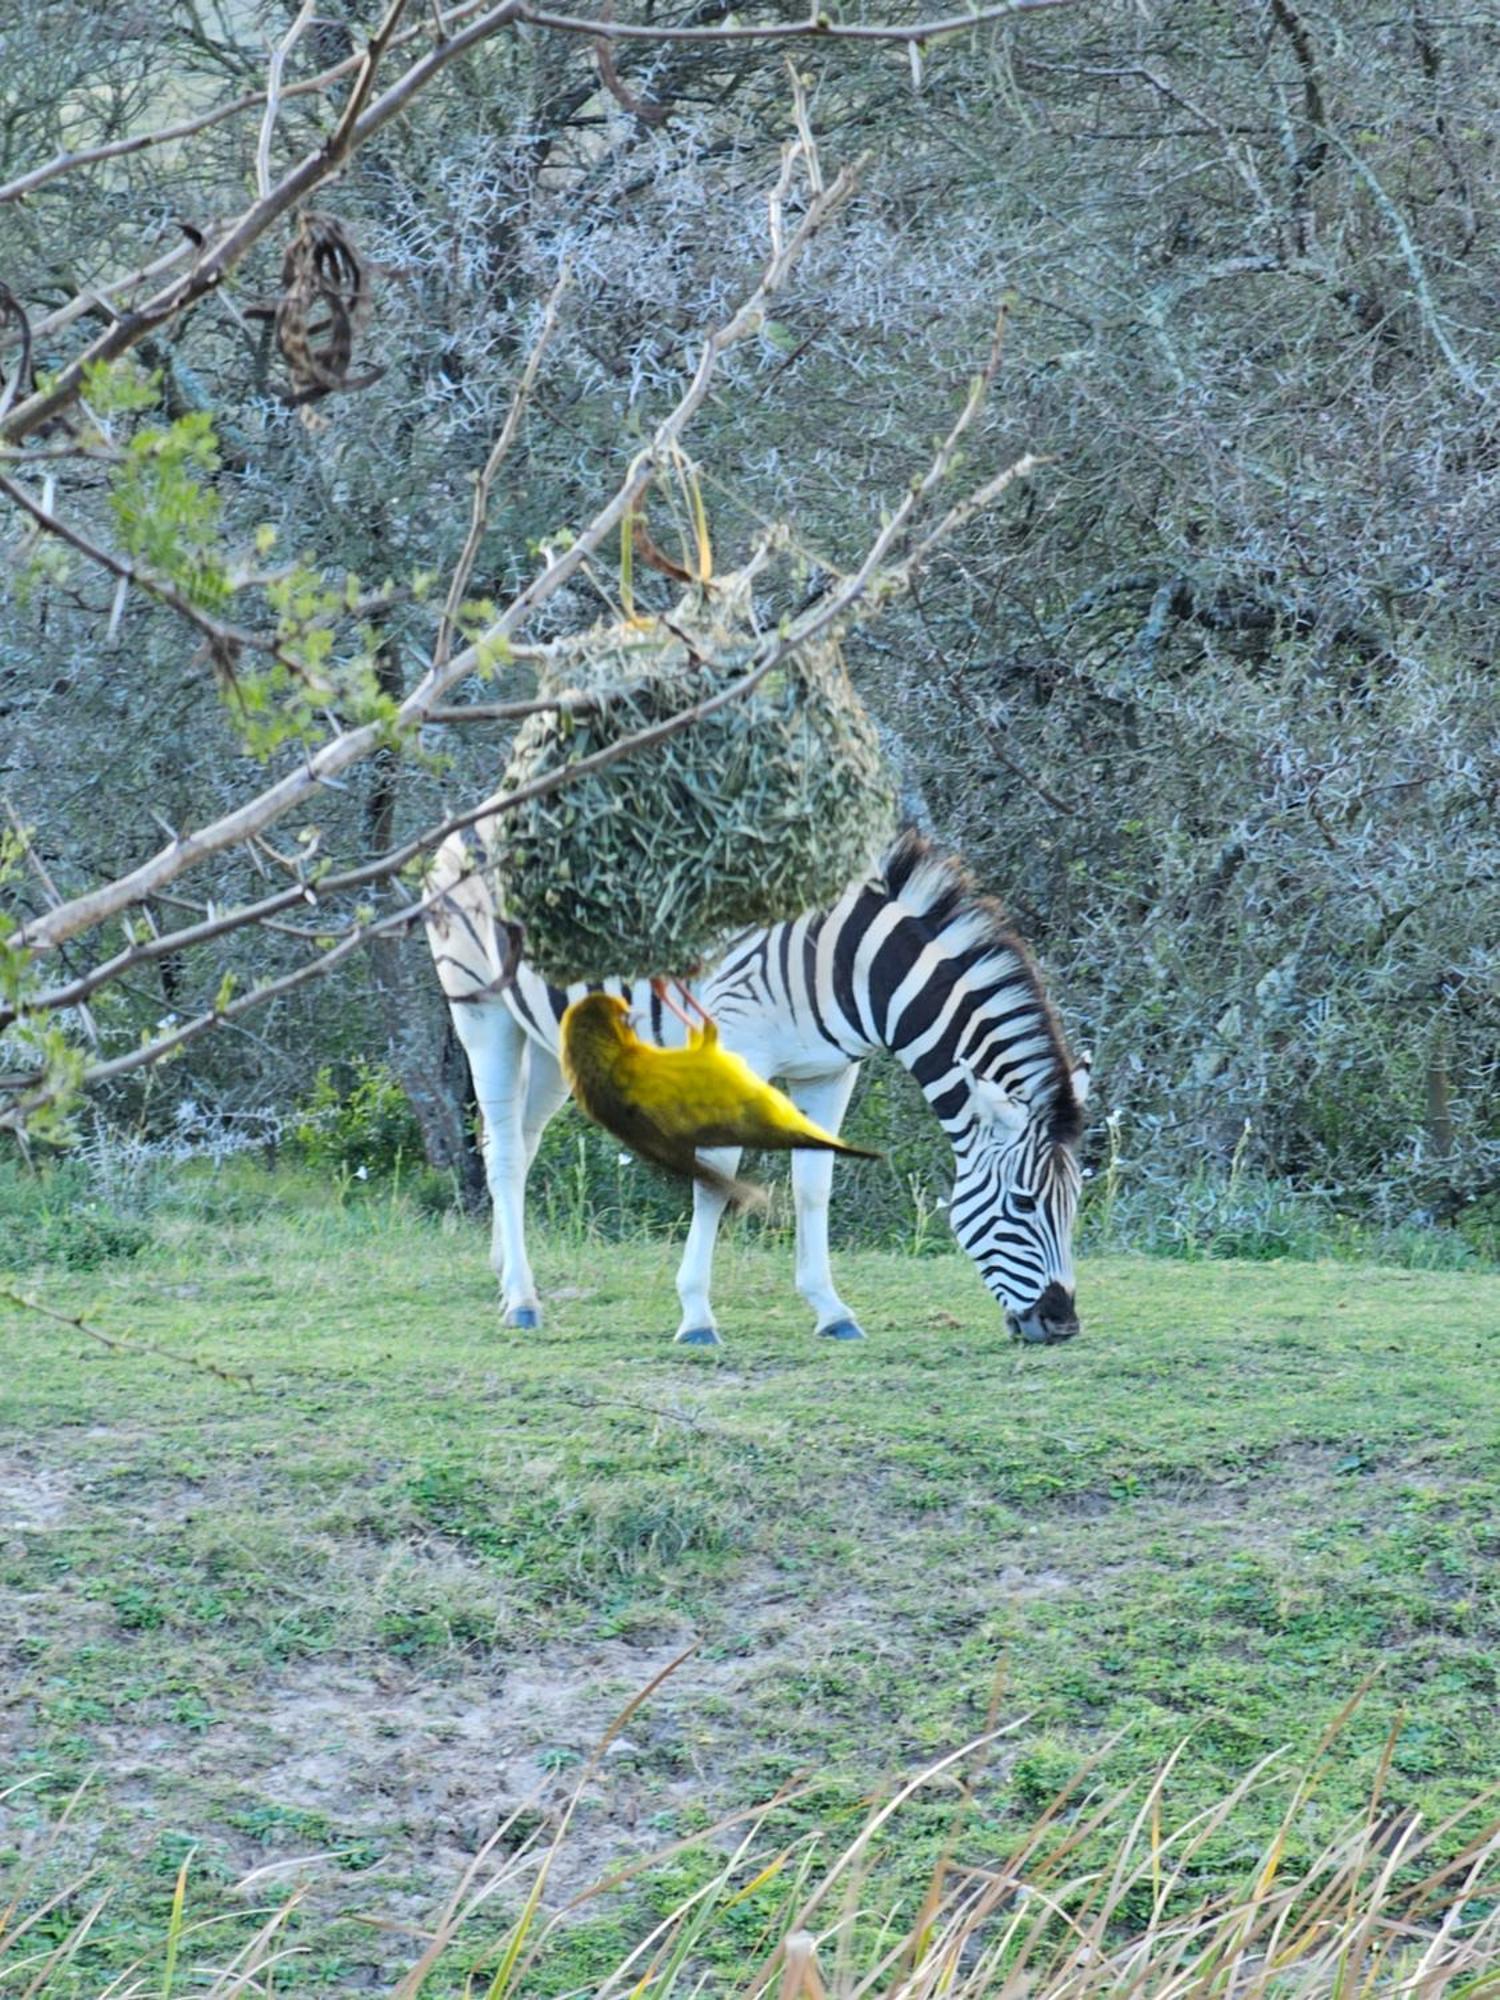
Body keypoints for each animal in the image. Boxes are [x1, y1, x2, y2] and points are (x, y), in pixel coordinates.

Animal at [424, 828, 1096, 1344]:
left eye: (1075, 1203)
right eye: (1023, 1204)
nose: (1061, 1324)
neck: (844, 965)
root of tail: (473, 825)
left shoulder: (829, 1069)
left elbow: (814, 1186)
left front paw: (831, 1310)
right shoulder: (736, 1050)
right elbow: (716, 1179)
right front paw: (696, 1315)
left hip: (546, 1036)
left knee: (516, 1141)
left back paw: (505, 1273)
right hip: (483, 1012)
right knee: (506, 1152)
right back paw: (522, 1302)